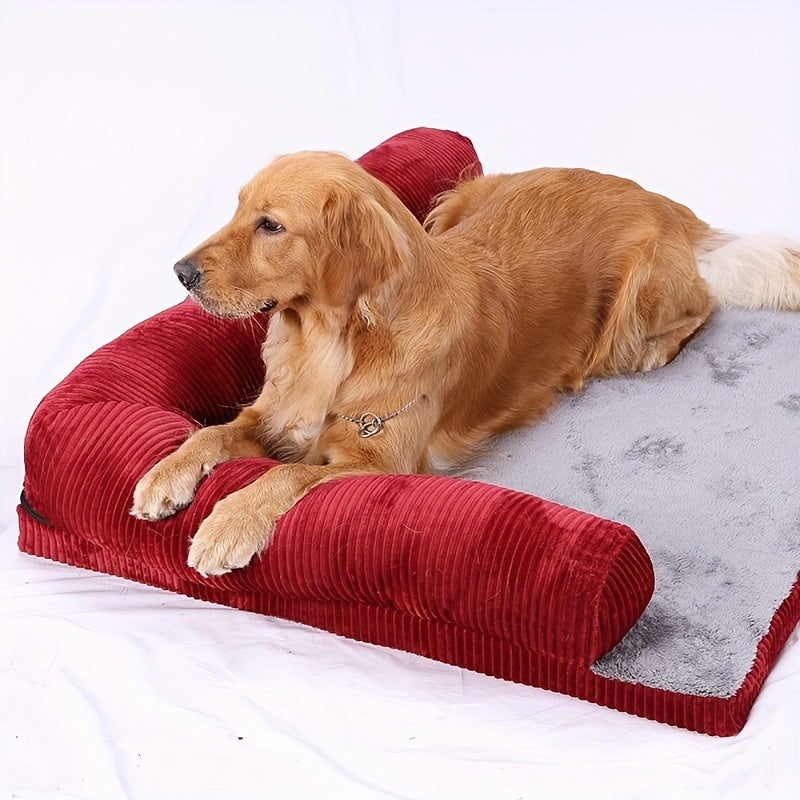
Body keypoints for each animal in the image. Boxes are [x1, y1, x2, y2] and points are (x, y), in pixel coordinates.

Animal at [131, 152, 800, 576]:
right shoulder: (273, 414)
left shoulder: (380, 463)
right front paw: (163, 476)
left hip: (634, 311)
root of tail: (659, 198)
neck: (333, 342)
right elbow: (212, 433)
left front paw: (227, 524)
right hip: (460, 198)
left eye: (271, 225)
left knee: (701, 305)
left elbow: (286, 475)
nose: (181, 272)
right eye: (238, 209)